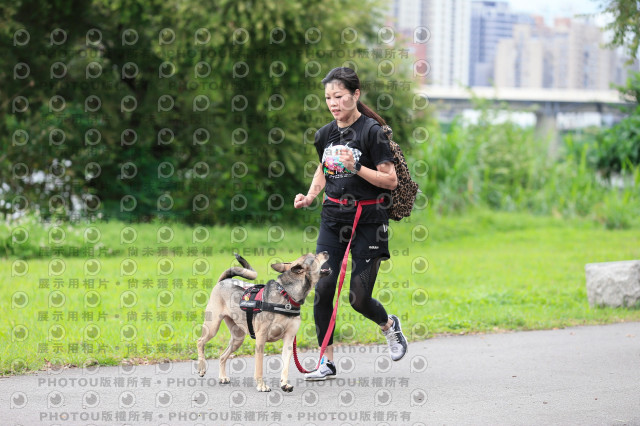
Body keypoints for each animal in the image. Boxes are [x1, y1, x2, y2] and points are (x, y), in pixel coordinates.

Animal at [196, 253, 330, 392]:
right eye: (314, 256)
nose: (326, 252)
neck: (287, 295)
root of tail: (224, 281)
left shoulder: (289, 339)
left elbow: (285, 366)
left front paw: (284, 383)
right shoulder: (261, 338)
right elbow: (259, 367)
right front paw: (261, 385)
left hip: (238, 338)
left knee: (222, 356)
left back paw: (222, 377)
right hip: (212, 327)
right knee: (200, 342)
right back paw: (201, 367)